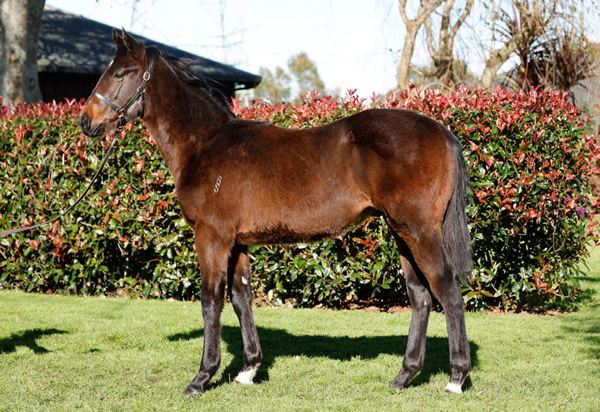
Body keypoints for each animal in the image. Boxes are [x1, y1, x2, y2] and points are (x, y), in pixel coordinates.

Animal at [79, 29, 474, 396]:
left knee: (447, 288)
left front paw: (202, 377)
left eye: (120, 73)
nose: (86, 121)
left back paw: (456, 377)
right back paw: (404, 376)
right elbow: (241, 298)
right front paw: (248, 370)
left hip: (418, 230)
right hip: (400, 230)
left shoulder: (211, 236)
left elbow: (211, 300)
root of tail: (443, 132)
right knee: (420, 295)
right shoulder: (236, 243)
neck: (205, 145)